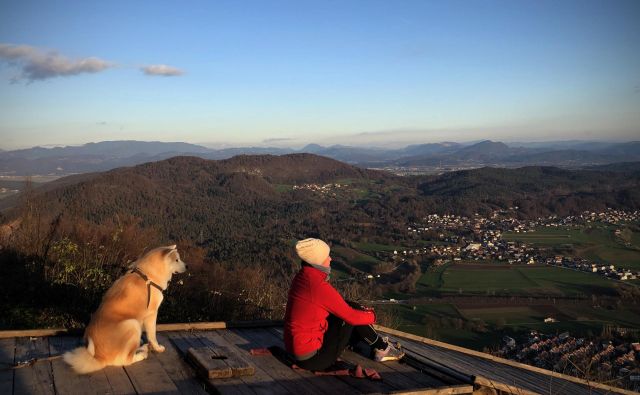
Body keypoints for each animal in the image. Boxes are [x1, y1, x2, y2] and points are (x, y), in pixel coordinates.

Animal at [63, 244, 186, 374]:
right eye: (177, 260)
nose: (187, 266)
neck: (148, 276)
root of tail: (99, 357)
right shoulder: (152, 314)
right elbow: (152, 336)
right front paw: (157, 348)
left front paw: (142, 341)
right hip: (132, 324)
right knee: (126, 360)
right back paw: (142, 353)